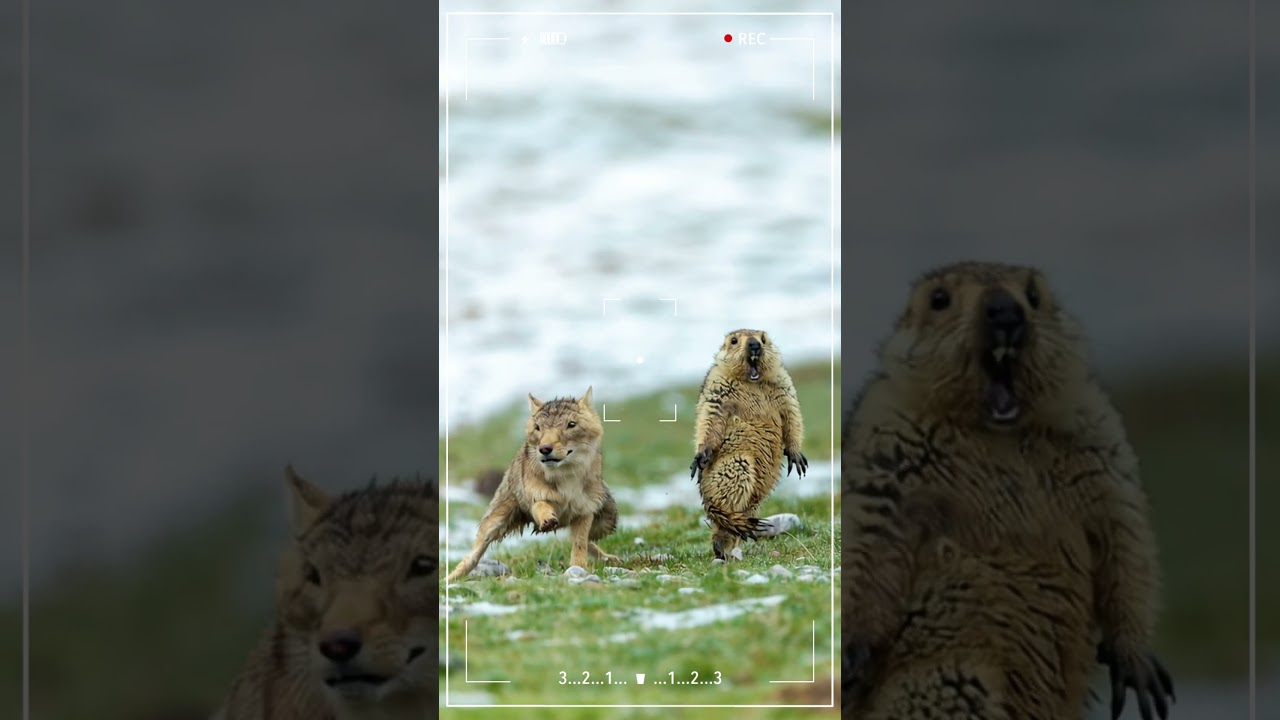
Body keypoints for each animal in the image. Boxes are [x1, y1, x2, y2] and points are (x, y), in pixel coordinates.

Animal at [445, 386, 621, 582]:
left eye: (571, 424)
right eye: (538, 428)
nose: (544, 449)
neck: (566, 479)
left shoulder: (584, 511)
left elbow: (580, 544)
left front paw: (579, 568)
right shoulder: (536, 498)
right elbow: (542, 506)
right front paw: (547, 519)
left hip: (606, 522)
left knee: (587, 540)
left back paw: (609, 558)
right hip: (493, 524)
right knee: (472, 556)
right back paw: (450, 579)